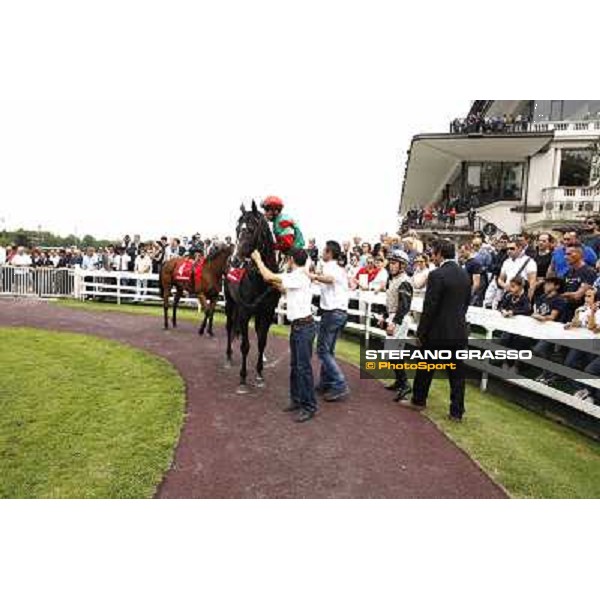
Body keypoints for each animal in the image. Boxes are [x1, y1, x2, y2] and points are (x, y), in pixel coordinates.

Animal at [225, 199, 282, 392]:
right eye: (237, 229)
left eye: (250, 229)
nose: (235, 260)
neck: (260, 280)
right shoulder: (244, 311)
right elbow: (245, 345)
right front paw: (243, 378)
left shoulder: (267, 313)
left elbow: (262, 342)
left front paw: (259, 374)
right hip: (229, 303)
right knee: (229, 327)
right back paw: (228, 357)